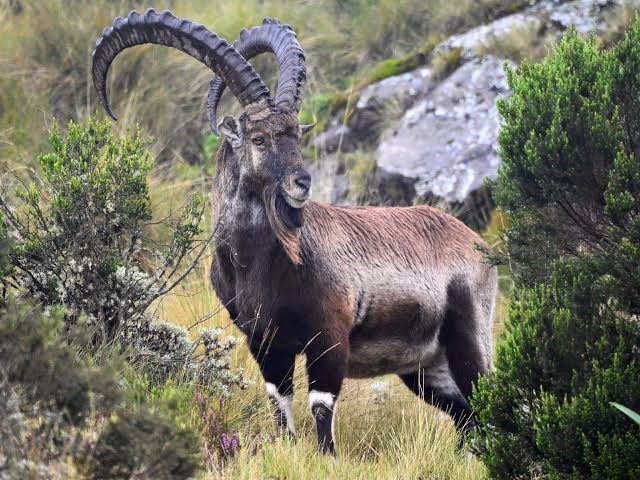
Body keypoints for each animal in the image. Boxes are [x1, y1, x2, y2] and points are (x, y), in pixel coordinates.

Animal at [92, 11, 498, 454]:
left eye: (296, 135)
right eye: (258, 137)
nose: (302, 182)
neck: (257, 262)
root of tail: (478, 244)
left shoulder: (329, 337)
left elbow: (321, 406)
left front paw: (327, 457)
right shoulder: (266, 343)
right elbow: (279, 401)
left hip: (468, 337)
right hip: (425, 367)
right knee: (465, 416)